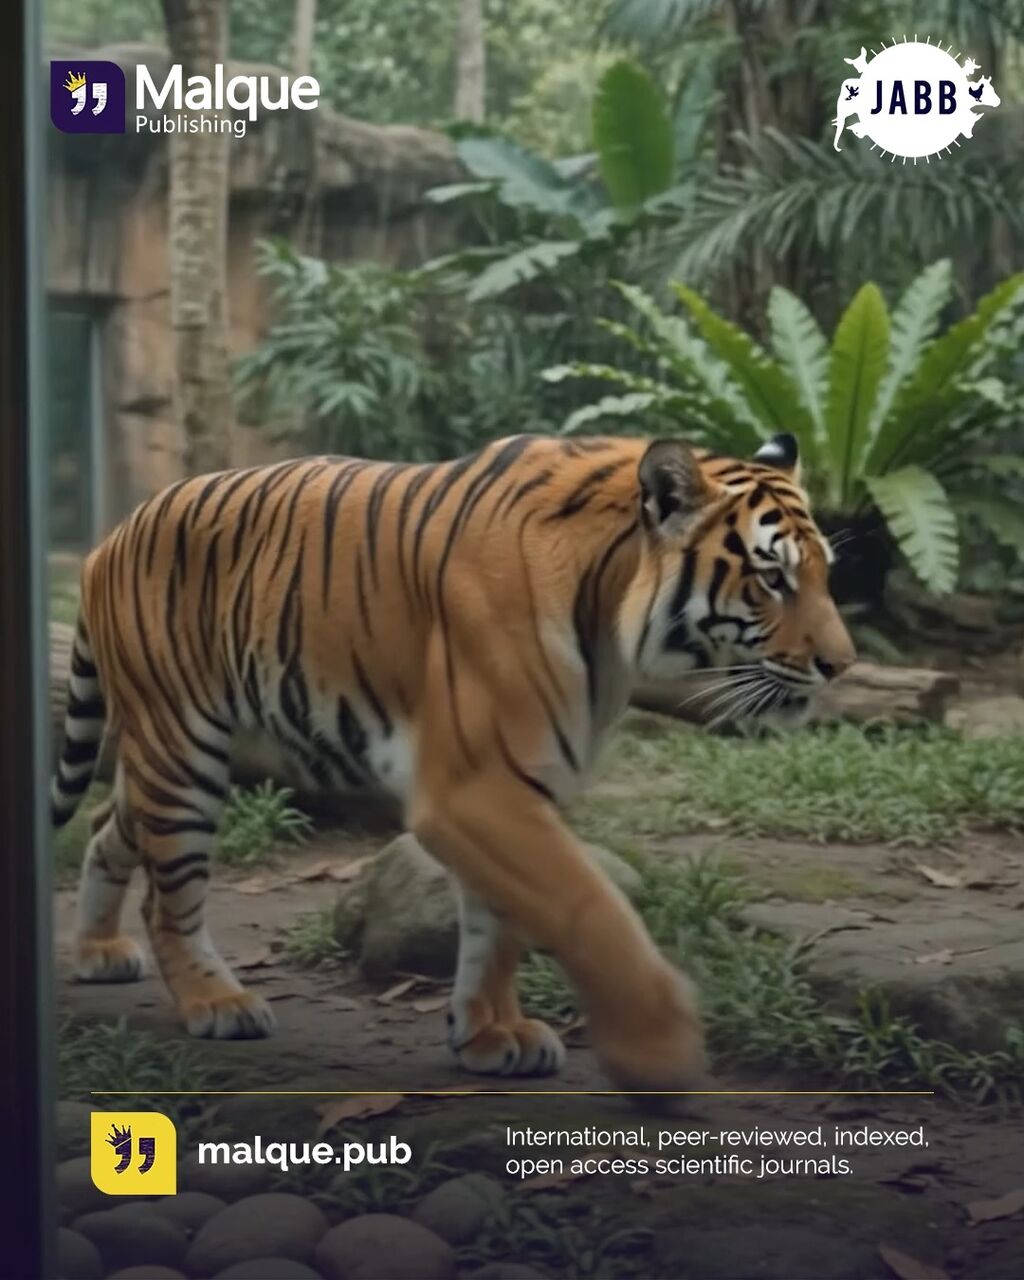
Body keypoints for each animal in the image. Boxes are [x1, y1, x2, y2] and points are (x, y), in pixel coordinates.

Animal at [52, 431, 854, 1091]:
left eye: (824, 575)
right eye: (772, 578)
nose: (842, 666)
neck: (611, 609)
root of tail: (108, 538)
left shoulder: (520, 782)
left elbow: (498, 926)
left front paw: (491, 1035)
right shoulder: (477, 787)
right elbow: (588, 907)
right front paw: (659, 1051)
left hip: (178, 751)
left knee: (104, 826)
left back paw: (98, 950)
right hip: (183, 748)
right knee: (169, 894)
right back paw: (216, 1001)